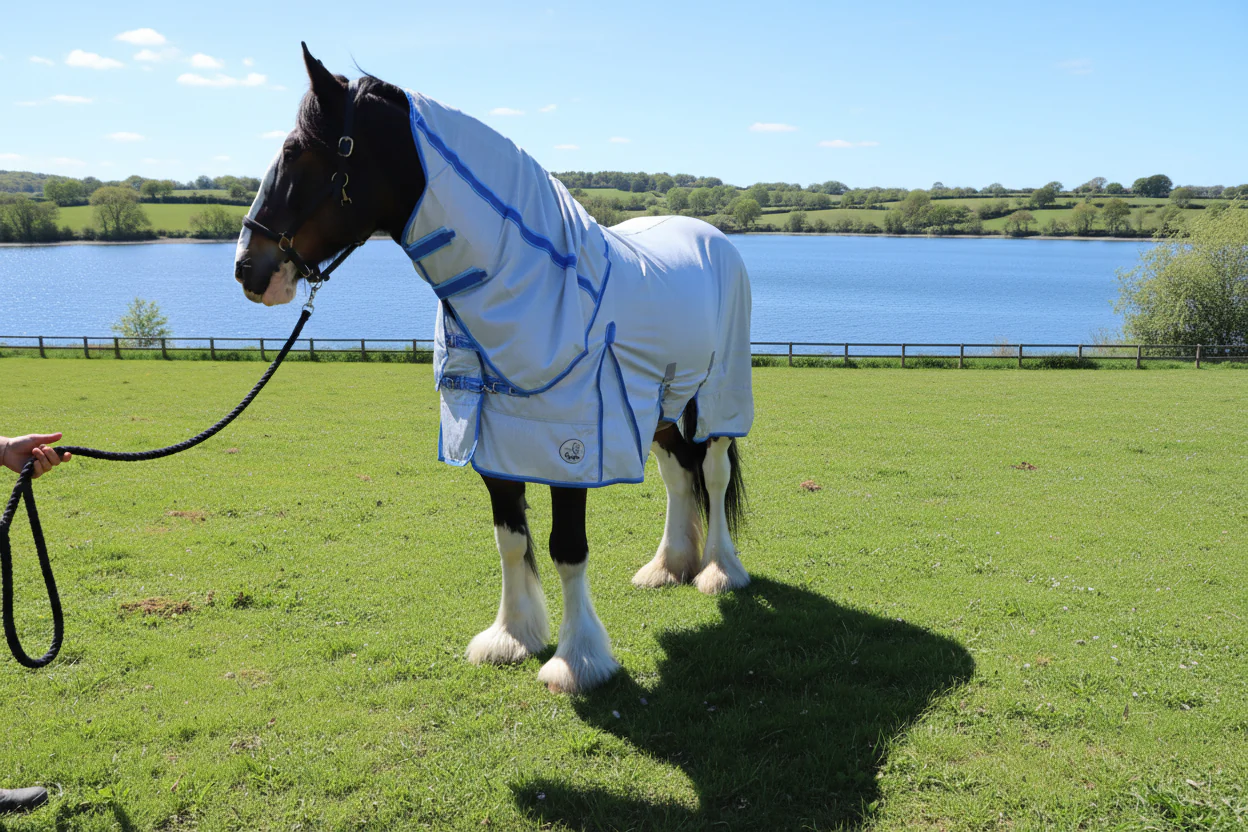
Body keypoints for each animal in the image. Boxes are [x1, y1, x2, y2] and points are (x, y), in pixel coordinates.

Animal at [234, 44, 753, 694]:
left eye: (296, 152)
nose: (248, 268)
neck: (536, 286)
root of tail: (713, 236)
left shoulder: (571, 447)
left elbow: (566, 547)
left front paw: (578, 661)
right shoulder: (493, 441)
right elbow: (510, 541)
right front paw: (512, 636)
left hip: (716, 399)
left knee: (711, 471)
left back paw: (718, 572)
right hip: (654, 406)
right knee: (678, 474)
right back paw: (667, 566)